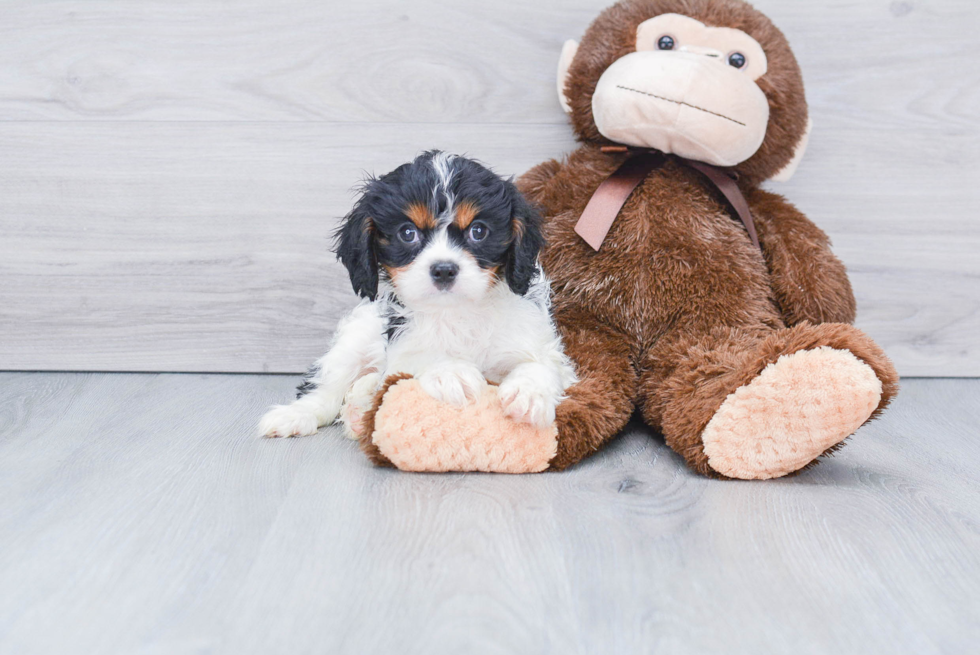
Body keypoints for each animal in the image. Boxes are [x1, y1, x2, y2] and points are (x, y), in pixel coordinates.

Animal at [260, 152, 580, 440]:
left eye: (478, 231)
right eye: (407, 233)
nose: (444, 270)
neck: (458, 312)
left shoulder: (538, 343)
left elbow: (540, 365)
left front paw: (529, 393)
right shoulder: (401, 349)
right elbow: (418, 360)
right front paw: (450, 371)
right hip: (353, 341)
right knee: (326, 387)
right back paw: (298, 415)